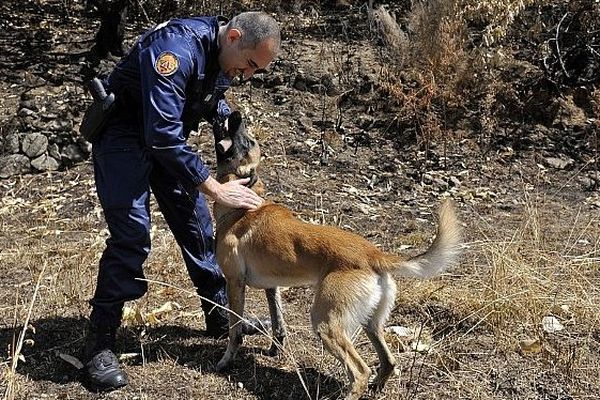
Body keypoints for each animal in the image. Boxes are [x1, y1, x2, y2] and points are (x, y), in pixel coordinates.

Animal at [213, 111, 462, 398]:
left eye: (248, 141)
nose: (235, 114)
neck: (243, 207)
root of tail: (373, 254)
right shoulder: (271, 287)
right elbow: (278, 324)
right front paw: (275, 349)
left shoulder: (234, 283)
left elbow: (234, 331)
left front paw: (225, 361)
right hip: (370, 323)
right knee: (388, 361)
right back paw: (377, 386)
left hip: (325, 323)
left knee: (360, 371)